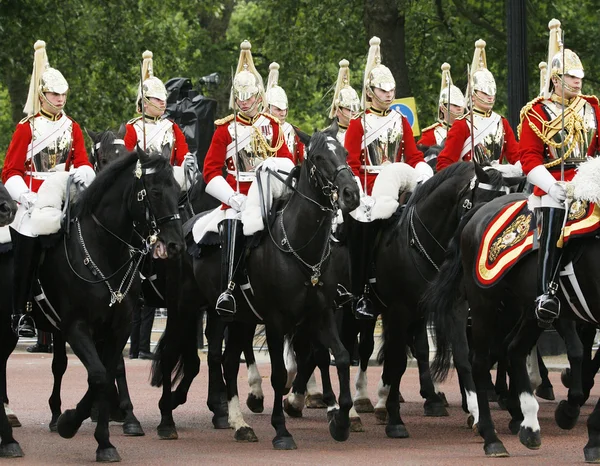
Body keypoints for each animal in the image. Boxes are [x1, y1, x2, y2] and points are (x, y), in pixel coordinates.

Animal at [152, 125, 358, 450]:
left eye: (345, 152)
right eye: (318, 157)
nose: (351, 194)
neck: (298, 246)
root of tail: (181, 230)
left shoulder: (321, 315)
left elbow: (340, 356)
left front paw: (340, 419)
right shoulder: (276, 321)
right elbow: (279, 373)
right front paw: (282, 430)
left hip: (233, 317)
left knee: (225, 360)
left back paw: (239, 423)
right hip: (182, 308)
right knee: (173, 353)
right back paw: (166, 421)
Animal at [422, 190, 600, 462]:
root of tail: (481, 209)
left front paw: (586, 431)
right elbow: (578, 351)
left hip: (526, 309)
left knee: (514, 349)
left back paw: (529, 424)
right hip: (484, 303)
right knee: (479, 361)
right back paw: (491, 437)